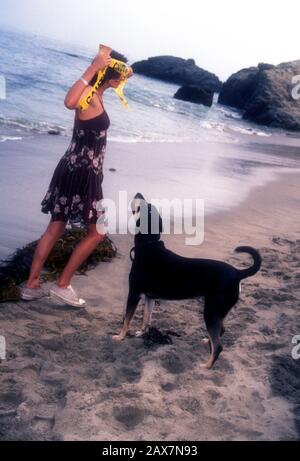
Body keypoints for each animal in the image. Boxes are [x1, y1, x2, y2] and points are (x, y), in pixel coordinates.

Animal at [113, 192, 262, 368]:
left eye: (142, 206)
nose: (139, 194)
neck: (148, 244)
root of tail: (238, 273)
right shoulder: (150, 297)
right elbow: (146, 318)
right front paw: (142, 333)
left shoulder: (134, 293)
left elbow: (127, 319)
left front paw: (120, 337)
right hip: (219, 311)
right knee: (221, 331)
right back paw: (207, 342)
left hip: (211, 311)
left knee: (219, 345)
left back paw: (206, 366)